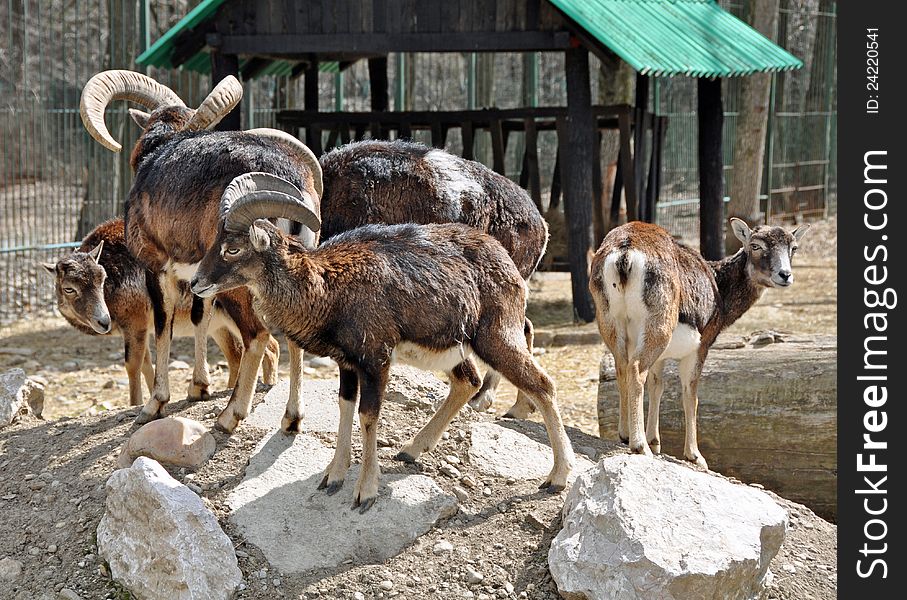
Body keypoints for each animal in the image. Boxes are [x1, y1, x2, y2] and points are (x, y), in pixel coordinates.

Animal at [42, 218, 278, 406]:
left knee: (269, 347)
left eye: (102, 278)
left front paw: (135, 403)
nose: (103, 321)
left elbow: (133, 365)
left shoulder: (135, 322)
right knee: (241, 354)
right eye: (69, 288)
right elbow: (147, 365)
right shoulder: (141, 329)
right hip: (218, 326)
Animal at [80, 70, 322, 426]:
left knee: (257, 335)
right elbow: (200, 317)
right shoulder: (200, 278)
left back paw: (230, 416)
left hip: (240, 284)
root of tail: (287, 182)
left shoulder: (157, 268)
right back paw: (291, 418)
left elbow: (163, 325)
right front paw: (198, 388)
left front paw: (155, 405)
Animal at [191, 172, 576, 510]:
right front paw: (332, 477)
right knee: (468, 381)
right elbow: (345, 407)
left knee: (542, 384)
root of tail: (505, 260)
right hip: (451, 350)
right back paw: (410, 450)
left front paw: (366, 492)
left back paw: (557, 477)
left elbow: (368, 415)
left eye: (233, 249)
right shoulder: (347, 364)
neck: (327, 289)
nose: (196, 283)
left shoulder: (376, 360)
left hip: (496, 337)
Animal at [592, 218, 812, 466]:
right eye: (756, 246)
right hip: (658, 329)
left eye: (793, 247)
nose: (785, 275)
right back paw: (639, 446)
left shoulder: (661, 358)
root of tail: (625, 253)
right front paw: (695, 456)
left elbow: (657, 386)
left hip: (613, 324)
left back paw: (626, 435)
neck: (718, 286)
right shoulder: (700, 347)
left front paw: (655, 443)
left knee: (622, 368)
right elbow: (691, 395)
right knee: (636, 370)